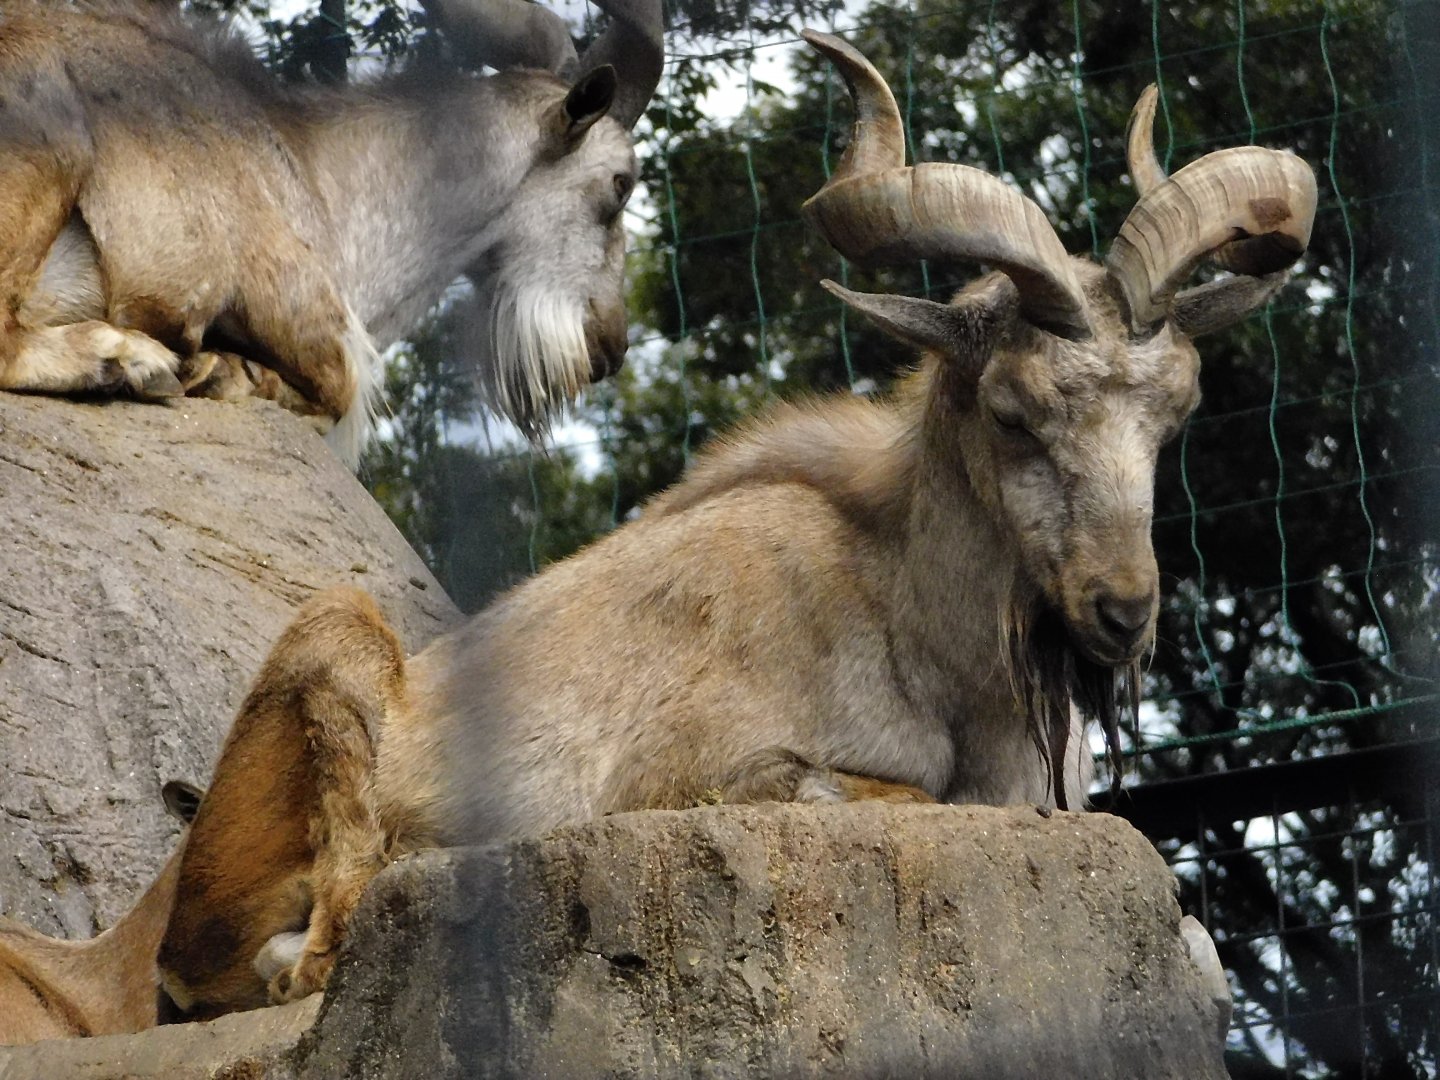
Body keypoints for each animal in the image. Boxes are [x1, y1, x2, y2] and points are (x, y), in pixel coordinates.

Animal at [0, 0, 662, 465]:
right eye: (621, 183)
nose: (612, 346)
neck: (314, 172)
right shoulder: (291, 307)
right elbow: (340, 389)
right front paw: (222, 372)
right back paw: (125, 359)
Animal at [155, 32, 1315, 1021]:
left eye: (1176, 410)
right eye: (1012, 409)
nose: (1122, 612)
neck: (920, 638)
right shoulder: (685, 772)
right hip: (334, 658)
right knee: (296, 955)